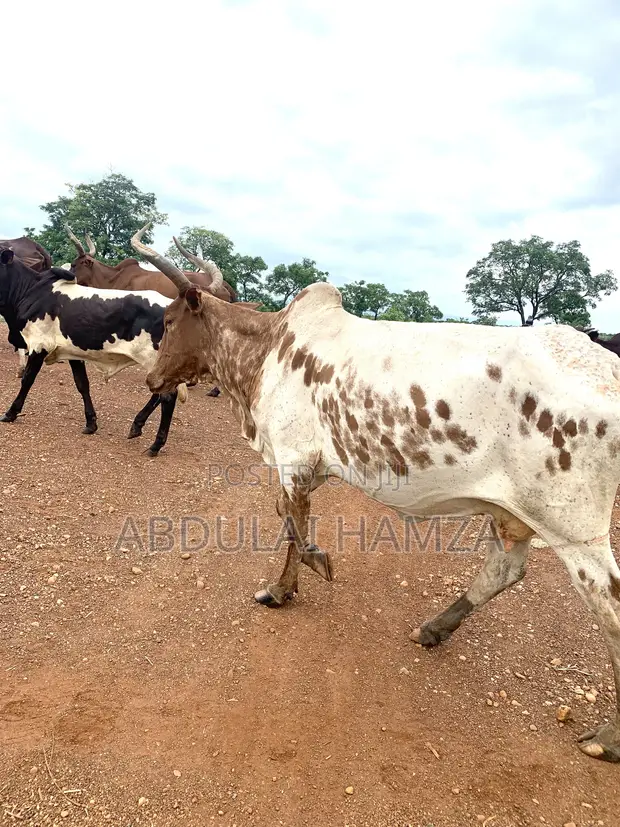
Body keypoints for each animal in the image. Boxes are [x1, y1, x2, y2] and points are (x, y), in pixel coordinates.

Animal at [134, 226, 620, 764]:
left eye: (169, 320)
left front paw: (289, 584)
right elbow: (292, 522)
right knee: (503, 570)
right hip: (512, 511)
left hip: (574, 528)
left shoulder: (291, 458)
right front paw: (300, 575)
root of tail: (607, 366)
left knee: (609, 608)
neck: (267, 351)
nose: (152, 378)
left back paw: (607, 738)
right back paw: (433, 629)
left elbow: (293, 524)